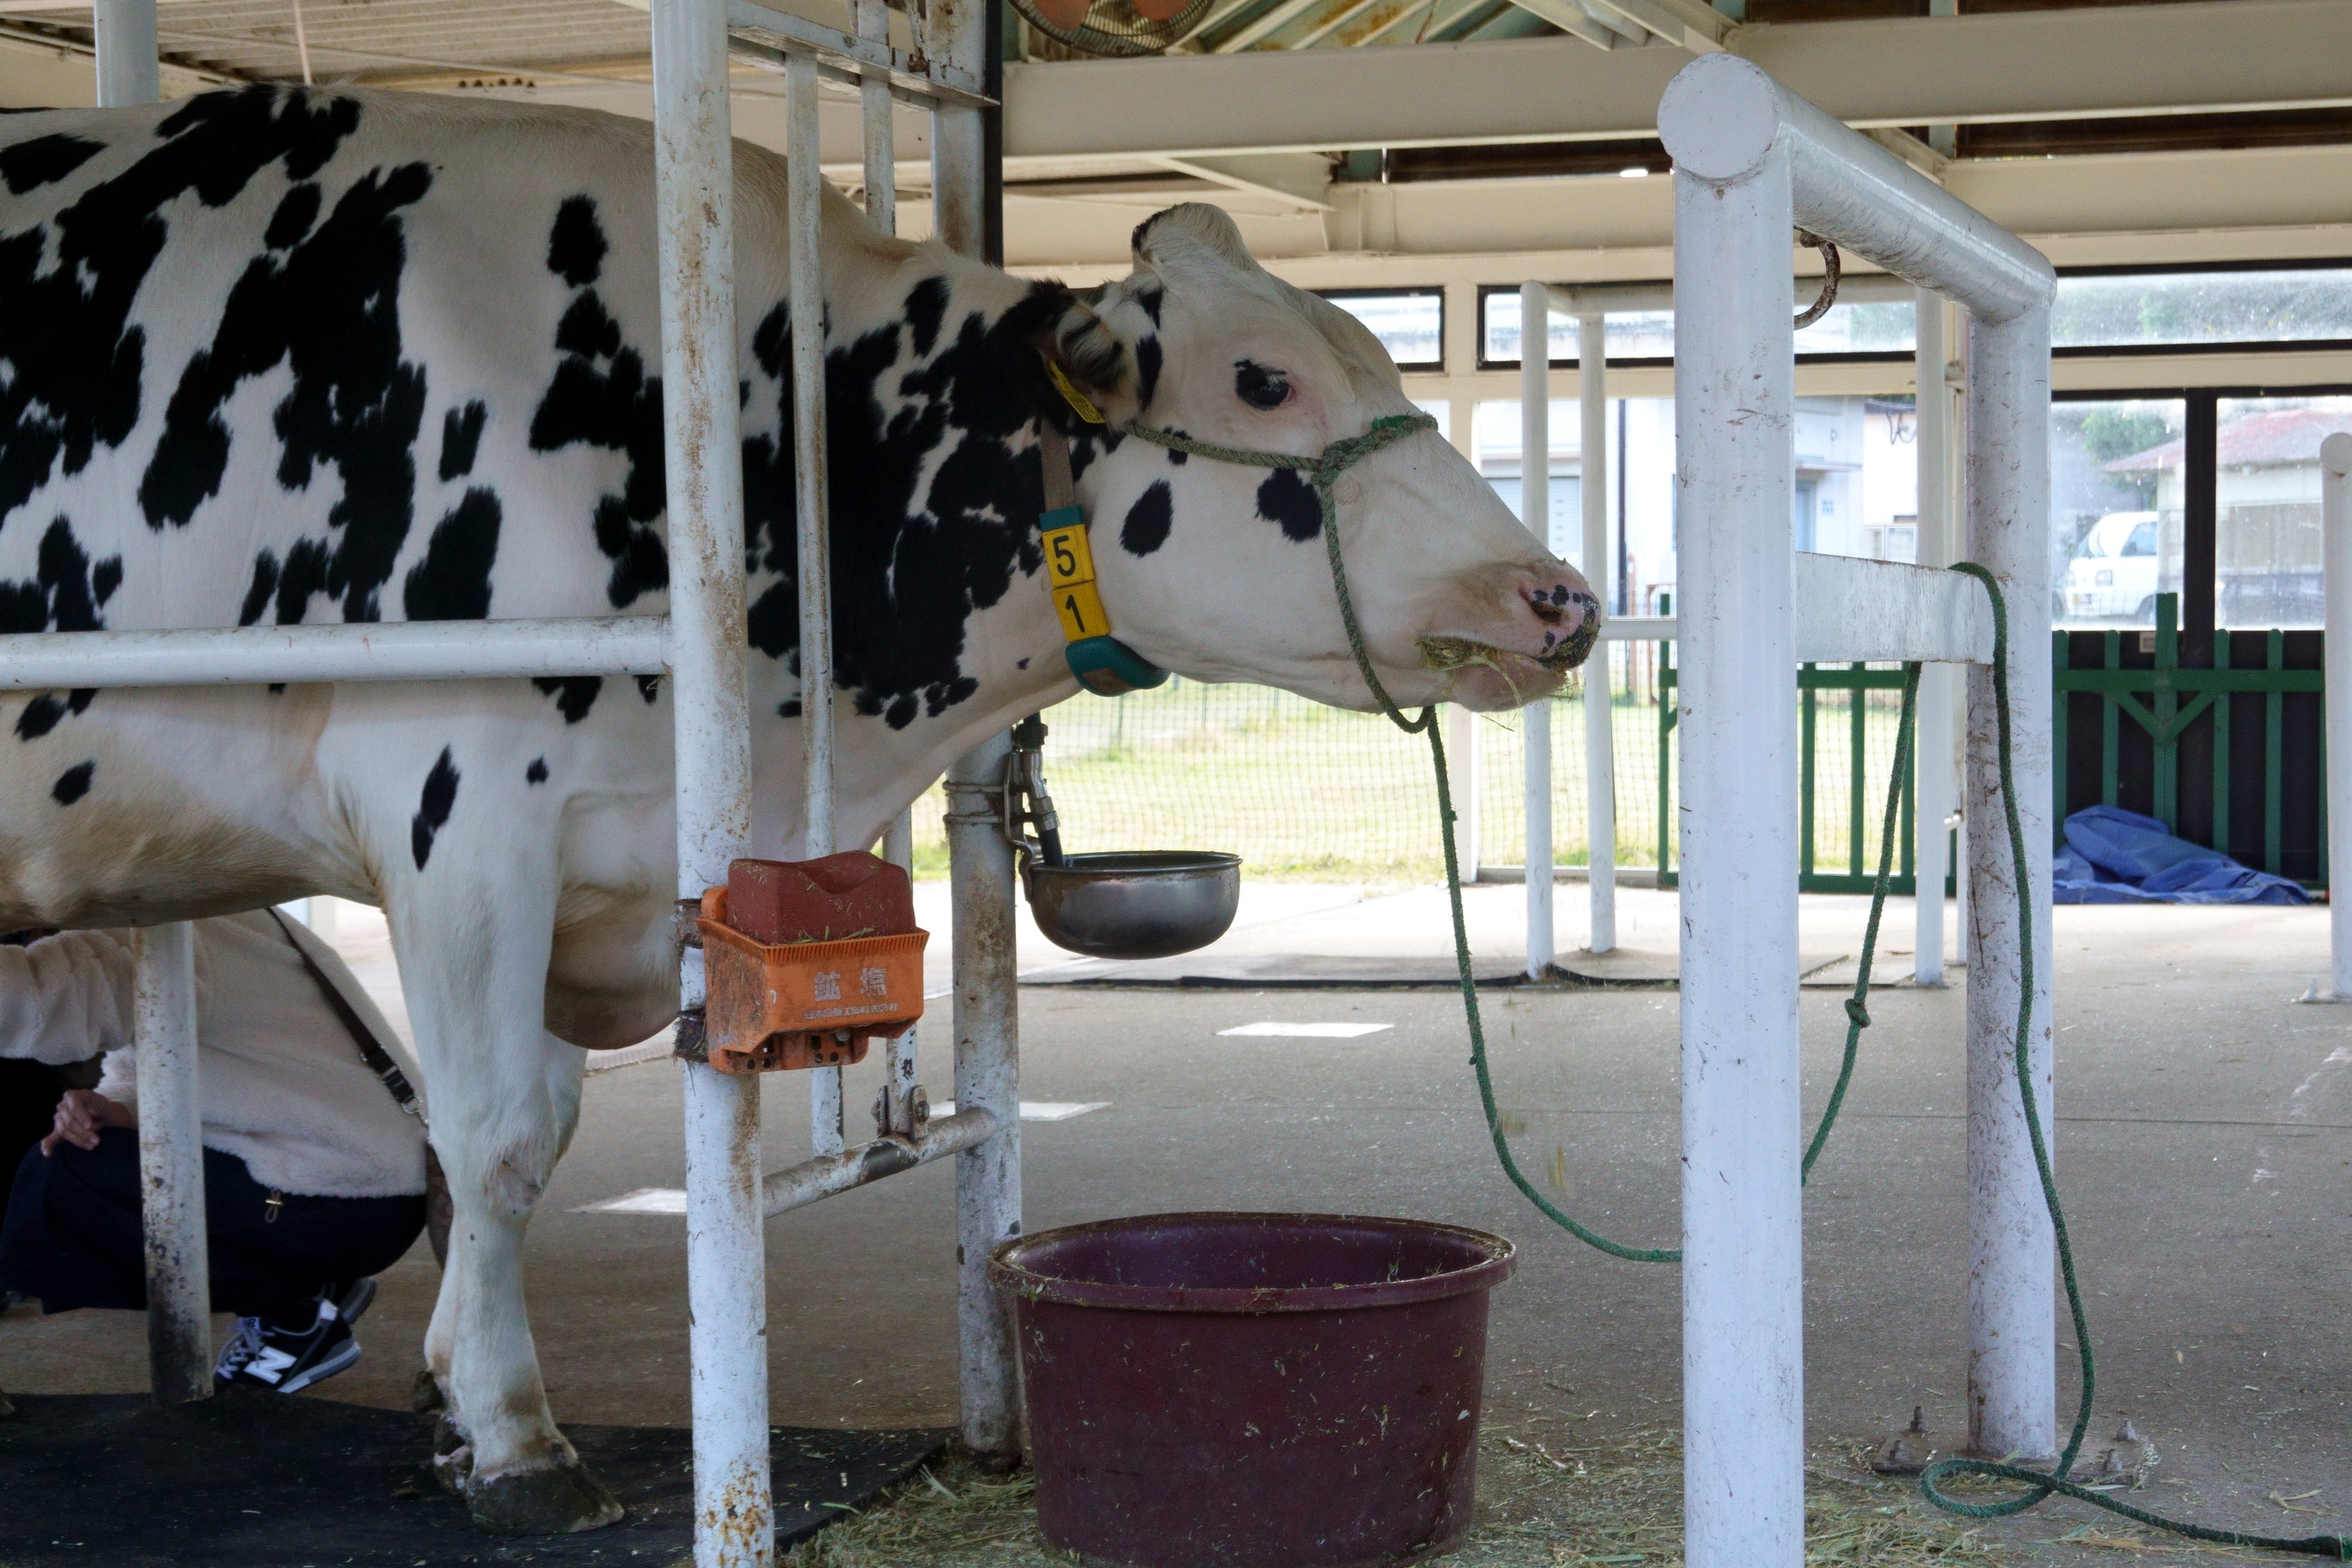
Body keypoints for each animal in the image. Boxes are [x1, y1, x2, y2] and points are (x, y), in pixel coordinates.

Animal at [0, 85, 1599, 1532]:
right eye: (1264, 381)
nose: (1559, 597)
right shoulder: (457, 805)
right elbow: (496, 1136)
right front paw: (516, 1440)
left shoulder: (592, 864)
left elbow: (535, 1132)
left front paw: (454, 1394)